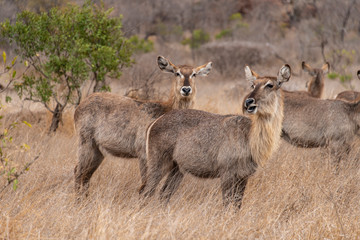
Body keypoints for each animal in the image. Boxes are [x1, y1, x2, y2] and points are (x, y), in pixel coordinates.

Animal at [74, 56, 212, 197]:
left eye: (194, 74)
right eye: (177, 73)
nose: (186, 89)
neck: (165, 110)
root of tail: (81, 104)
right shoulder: (143, 155)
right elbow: (145, 185)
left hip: (98, 150)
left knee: (86, 175)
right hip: (86, 143)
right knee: (78, 172)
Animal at [139, 64, 292, 208]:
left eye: (270, 85)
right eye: (253, 85)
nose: (248, 102)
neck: (249, 137)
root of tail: (155, 122)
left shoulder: (243, 176)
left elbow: (237, 205)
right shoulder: (227, 174)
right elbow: (227, 203)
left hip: (177, 168)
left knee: (164, 195)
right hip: (158, 163)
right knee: (146, 192)